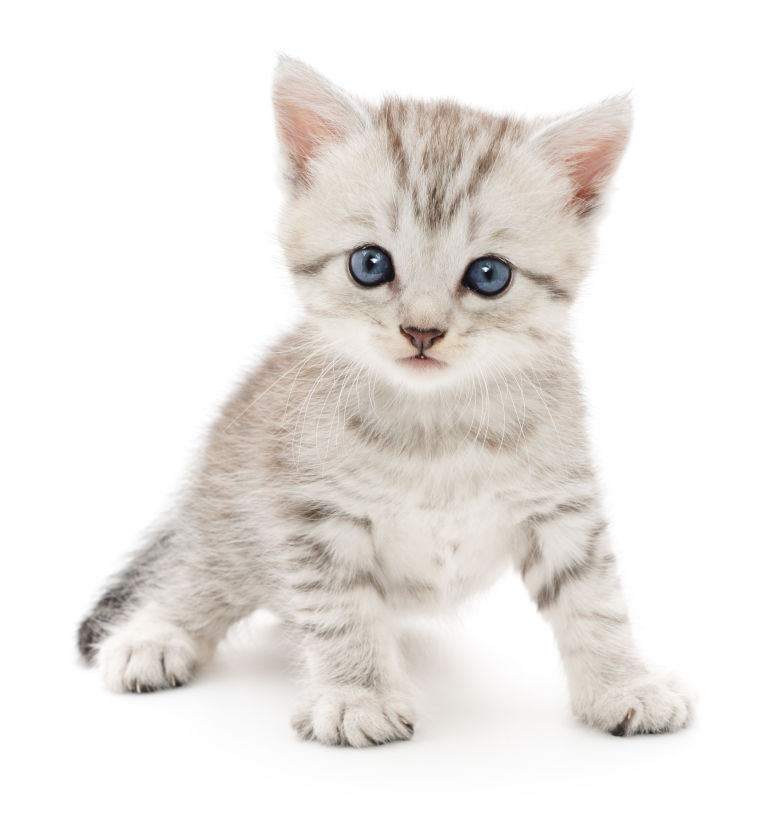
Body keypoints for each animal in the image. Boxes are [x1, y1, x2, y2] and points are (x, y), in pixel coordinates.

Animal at [78, 58, 696, 748]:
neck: (438, 428)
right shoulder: (312, 513)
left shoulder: (561, 505)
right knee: (193, 575)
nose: (422, 331)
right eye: (370, 264)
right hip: (232, 519)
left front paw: (624, 684)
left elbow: (595, 598)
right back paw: (153, 636)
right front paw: (357, 694)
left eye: (489, 275)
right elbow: (341, 608)